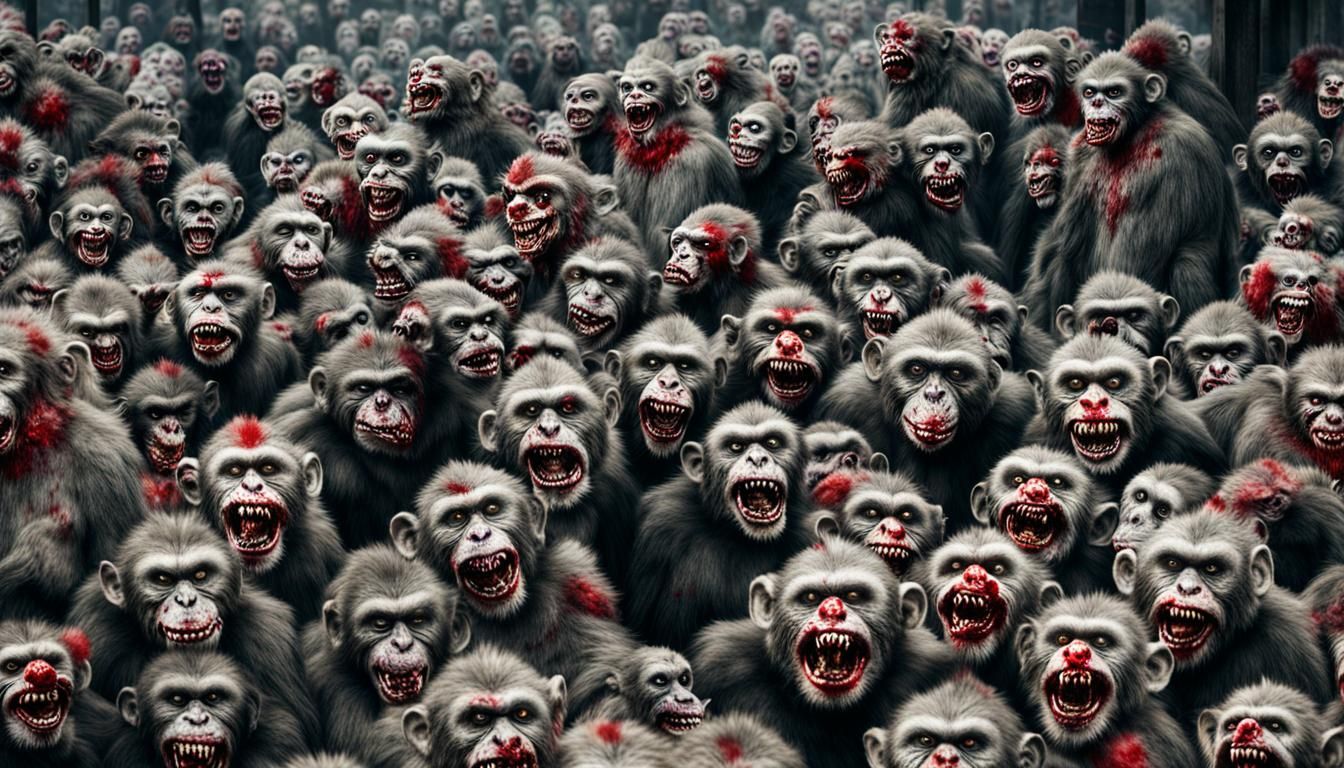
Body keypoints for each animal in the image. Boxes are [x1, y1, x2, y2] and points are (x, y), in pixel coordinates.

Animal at [613, 56, 744, 257]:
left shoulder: (688, 163)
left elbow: (665, 231)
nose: (633, 95)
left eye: (647, 87)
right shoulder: (626, 159)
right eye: (627, 87)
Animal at [1023, 53, 1239, 329]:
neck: (1131, 134)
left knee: (1187, 262)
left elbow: (1138, 250)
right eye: (1090, 91)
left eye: (1115, 91)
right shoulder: (1078, 156)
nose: (1097, 102)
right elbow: (1061, 241)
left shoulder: (1178, 153)